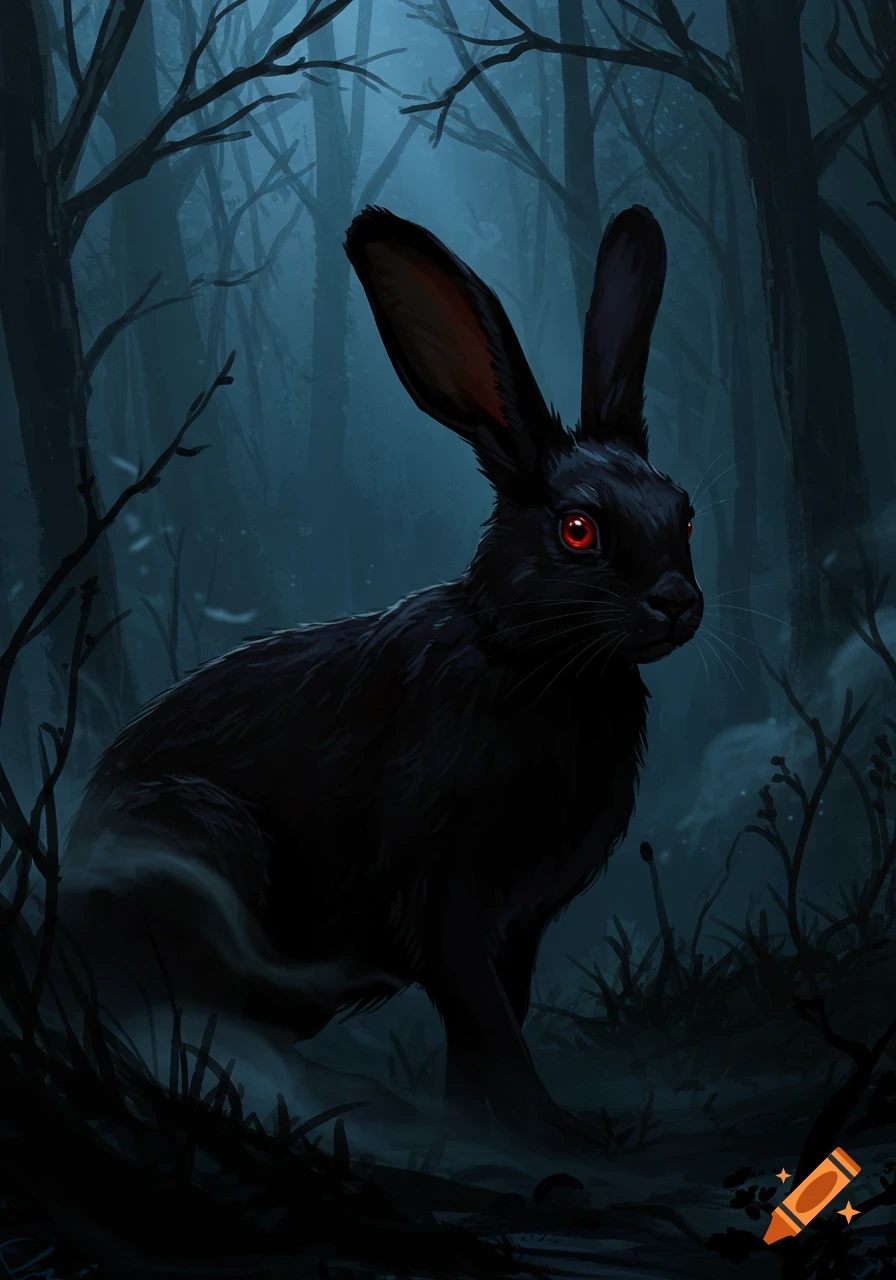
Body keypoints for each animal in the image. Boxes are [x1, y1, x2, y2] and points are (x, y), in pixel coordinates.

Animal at [62, 204, 702, 1152]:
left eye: (685, 513)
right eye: (579, 529)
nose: (679, 604)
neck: (528, 660)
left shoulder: (519, 928)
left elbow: (486, 1034)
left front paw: (482, 1126)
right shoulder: (443, 902)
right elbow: (490, 1027)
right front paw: (559, 1135)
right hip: (200, 839)